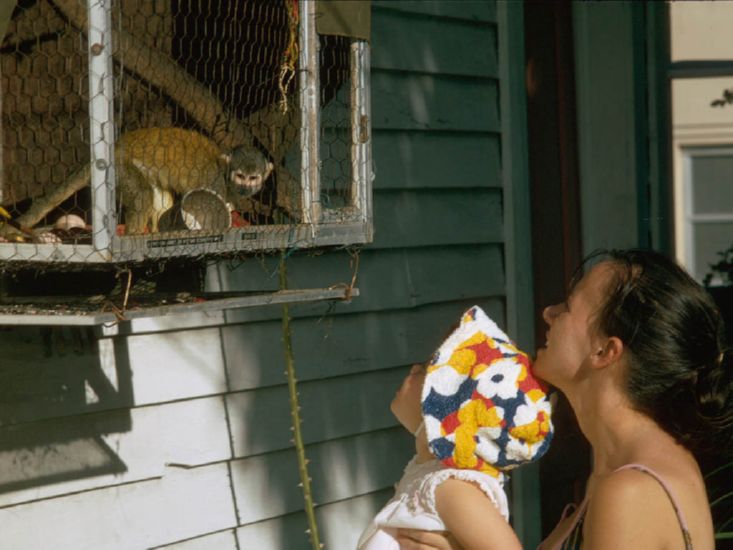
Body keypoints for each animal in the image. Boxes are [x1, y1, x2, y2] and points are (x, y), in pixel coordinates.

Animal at [116, 128, 274, 235]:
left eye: (253, 178)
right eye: (240, 176)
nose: (244, 187)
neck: (225, 175)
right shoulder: (214, 181)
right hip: (121, 166)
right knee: (142, 194)